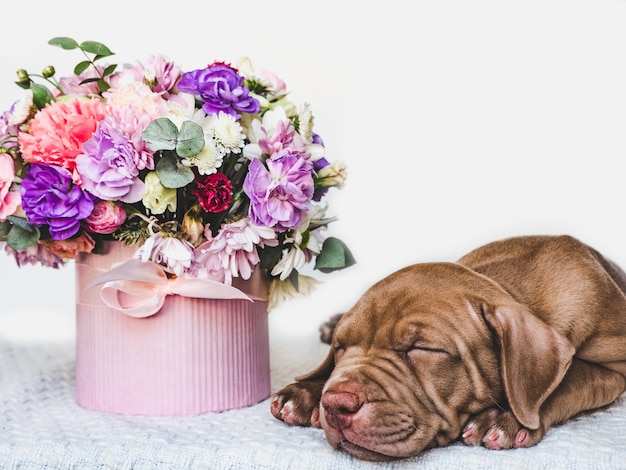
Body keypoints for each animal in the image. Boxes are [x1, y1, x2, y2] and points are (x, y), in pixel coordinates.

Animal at [268, 233, 624, 460]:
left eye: (423, 349)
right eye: (341, 347)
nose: (336, 405)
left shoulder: (615, 369)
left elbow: (567, 381)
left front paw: (503, 418)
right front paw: (306, 392)